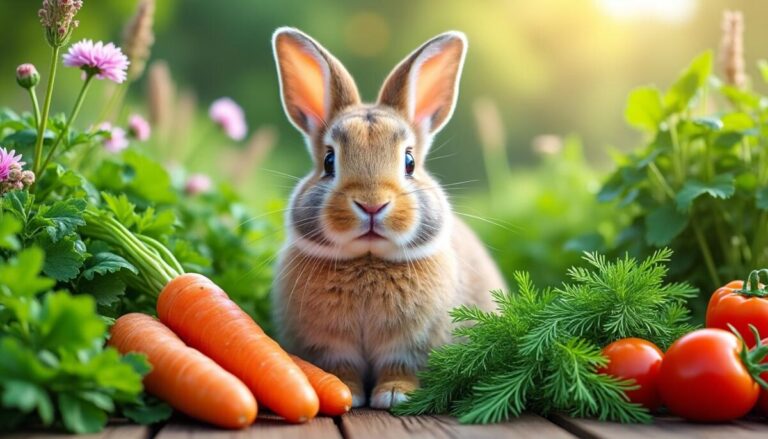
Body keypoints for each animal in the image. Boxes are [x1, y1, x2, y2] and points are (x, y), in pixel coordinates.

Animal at [270, 27, 507, 409]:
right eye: (329, 161)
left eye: (409, 161)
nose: (371, 204)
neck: (368, 261)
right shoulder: (333, 346)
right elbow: (341, 368)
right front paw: (347, 391)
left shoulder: (411, 346)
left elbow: (401, 367)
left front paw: (395, 395)